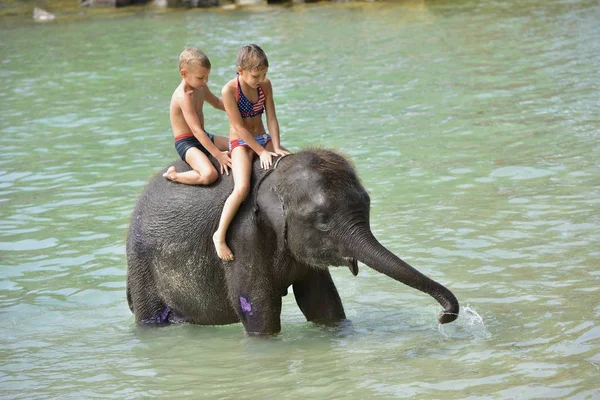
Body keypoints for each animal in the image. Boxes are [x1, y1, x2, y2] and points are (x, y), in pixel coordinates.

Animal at [124, 148, 458, 332]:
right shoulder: (240, 235)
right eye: (322, 221)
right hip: (141, 266)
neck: (274, 176)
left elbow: (322, 302)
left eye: (367, 204)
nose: (443, 316)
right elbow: (258, 308)